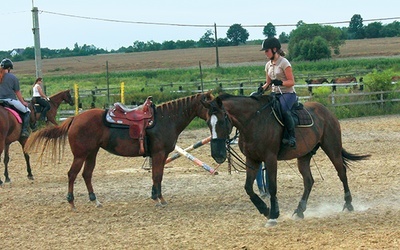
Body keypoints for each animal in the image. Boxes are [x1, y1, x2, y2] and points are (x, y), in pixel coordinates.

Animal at [24, 92, 212, 209]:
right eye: (210, 105)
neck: (165, 120)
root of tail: (74, 119)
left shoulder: (161, 155)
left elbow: (157, 175)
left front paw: (156, 196)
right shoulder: (159, 154)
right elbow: (157, 176)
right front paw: (159, 199)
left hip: (92, 153)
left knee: (86, 174)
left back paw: (95, 200)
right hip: (80, 155)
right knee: (72, 174)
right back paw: (71, 202)